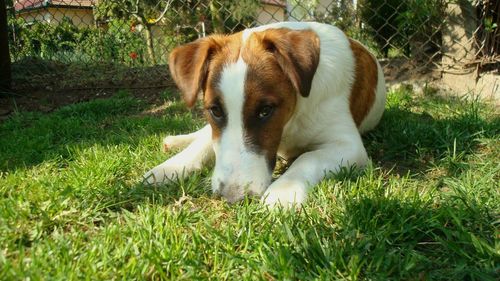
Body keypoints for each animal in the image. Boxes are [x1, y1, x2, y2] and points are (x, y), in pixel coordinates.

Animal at [145, 21, 386, 206]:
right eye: (215, 111)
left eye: (265, 111)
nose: (232, 197)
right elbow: (206, 143)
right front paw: (171, 167)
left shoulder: (348, 145)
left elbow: (308, 158)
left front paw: (284, 190)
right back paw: (176, 143)